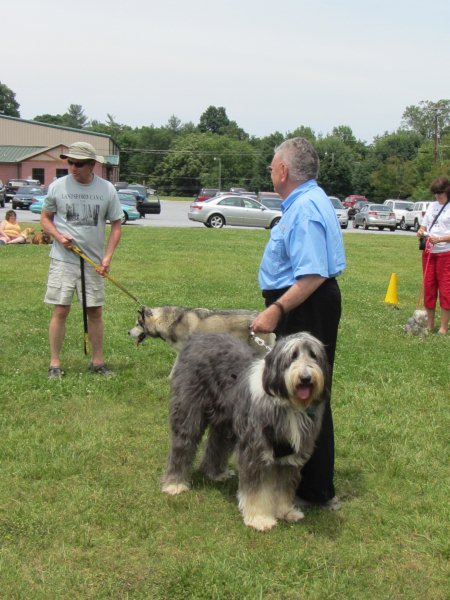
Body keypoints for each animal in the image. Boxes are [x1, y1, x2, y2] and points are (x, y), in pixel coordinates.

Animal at [163, 330, 330, 532]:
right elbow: (256, 489)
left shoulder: (291, 455)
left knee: (216, 443)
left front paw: (286, 511)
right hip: (188, 411)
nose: (306, 378)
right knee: (183, 444)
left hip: (225, 419)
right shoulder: (255, 448)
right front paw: (259, 518)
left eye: (313, 355)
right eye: (293, 356)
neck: (288, 404)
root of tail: (198, 336)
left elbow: (284, 486)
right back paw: (175, 484)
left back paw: (215, 472)